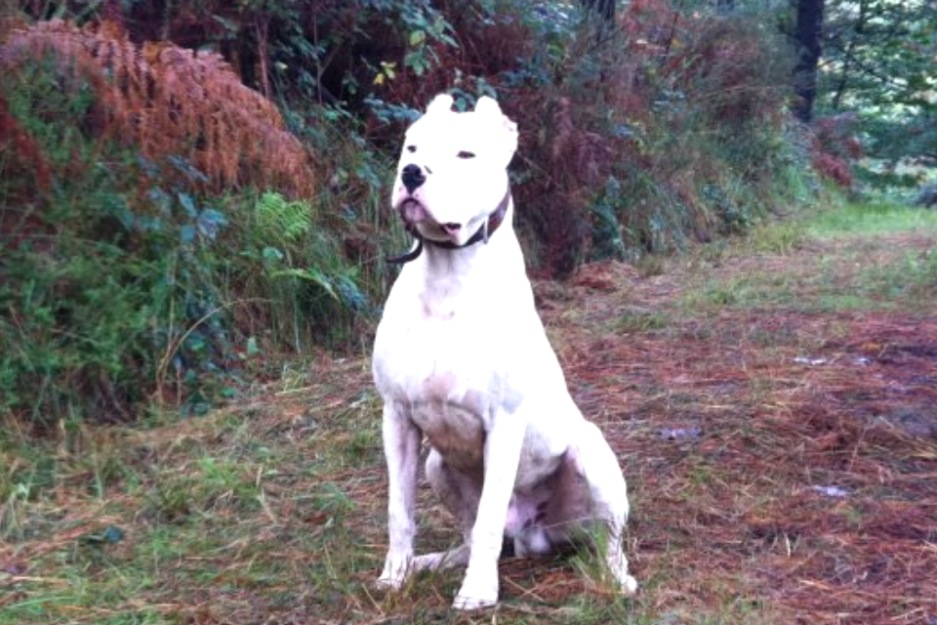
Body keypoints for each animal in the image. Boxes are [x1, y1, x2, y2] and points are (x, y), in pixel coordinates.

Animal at [372, 94, 636, 608]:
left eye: (465, 154)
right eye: (411, 146)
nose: (412, 173)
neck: (446, 274)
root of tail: (532, 535)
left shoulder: (505, 423)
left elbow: (490, 518)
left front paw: (478, 592)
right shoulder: (397, 417)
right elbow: (399, 510)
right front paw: (395, 576)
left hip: (592, 455)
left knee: (606, 540)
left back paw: (617, 579)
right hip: (436, 464)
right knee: (468, 534)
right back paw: (434, 561)